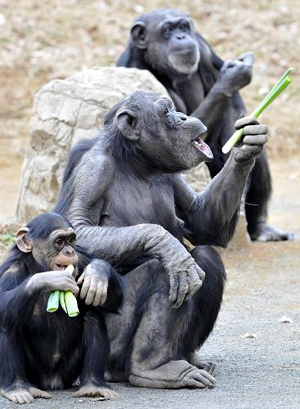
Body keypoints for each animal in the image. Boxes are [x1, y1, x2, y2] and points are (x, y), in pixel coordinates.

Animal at [0, 212, 123, 404]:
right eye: (59, 242)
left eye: (71, 240)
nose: (69, 251)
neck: (38, 265)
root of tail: (53, 383)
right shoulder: (9, 272)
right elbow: (2, 302)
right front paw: (50, 279)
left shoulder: (82, 258)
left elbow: (115, 300)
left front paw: (97, 272)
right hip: (36, 375)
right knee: (9, 320)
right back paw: (16, 388)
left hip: (68, 373)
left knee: (92, 315)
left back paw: (94, 385)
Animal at [54, 91, 270, 388]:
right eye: (167, 112)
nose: (183, 116)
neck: (136, 162)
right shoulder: (93, 171)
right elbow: (76, 228)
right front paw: (167, 246)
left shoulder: (174, 177)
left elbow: (202, 220)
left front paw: (245, 145)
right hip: (106, 348)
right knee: (163, 272)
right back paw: (153, 369)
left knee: (206, 256)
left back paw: (188, 359)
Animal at [117, 7, 292, 242]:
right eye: (168, 30)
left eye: (183, 27)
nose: (181, 37)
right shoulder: (133, 68)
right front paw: (232, 76)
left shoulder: (202, 46)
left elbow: (232, 103)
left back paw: (261, 227)